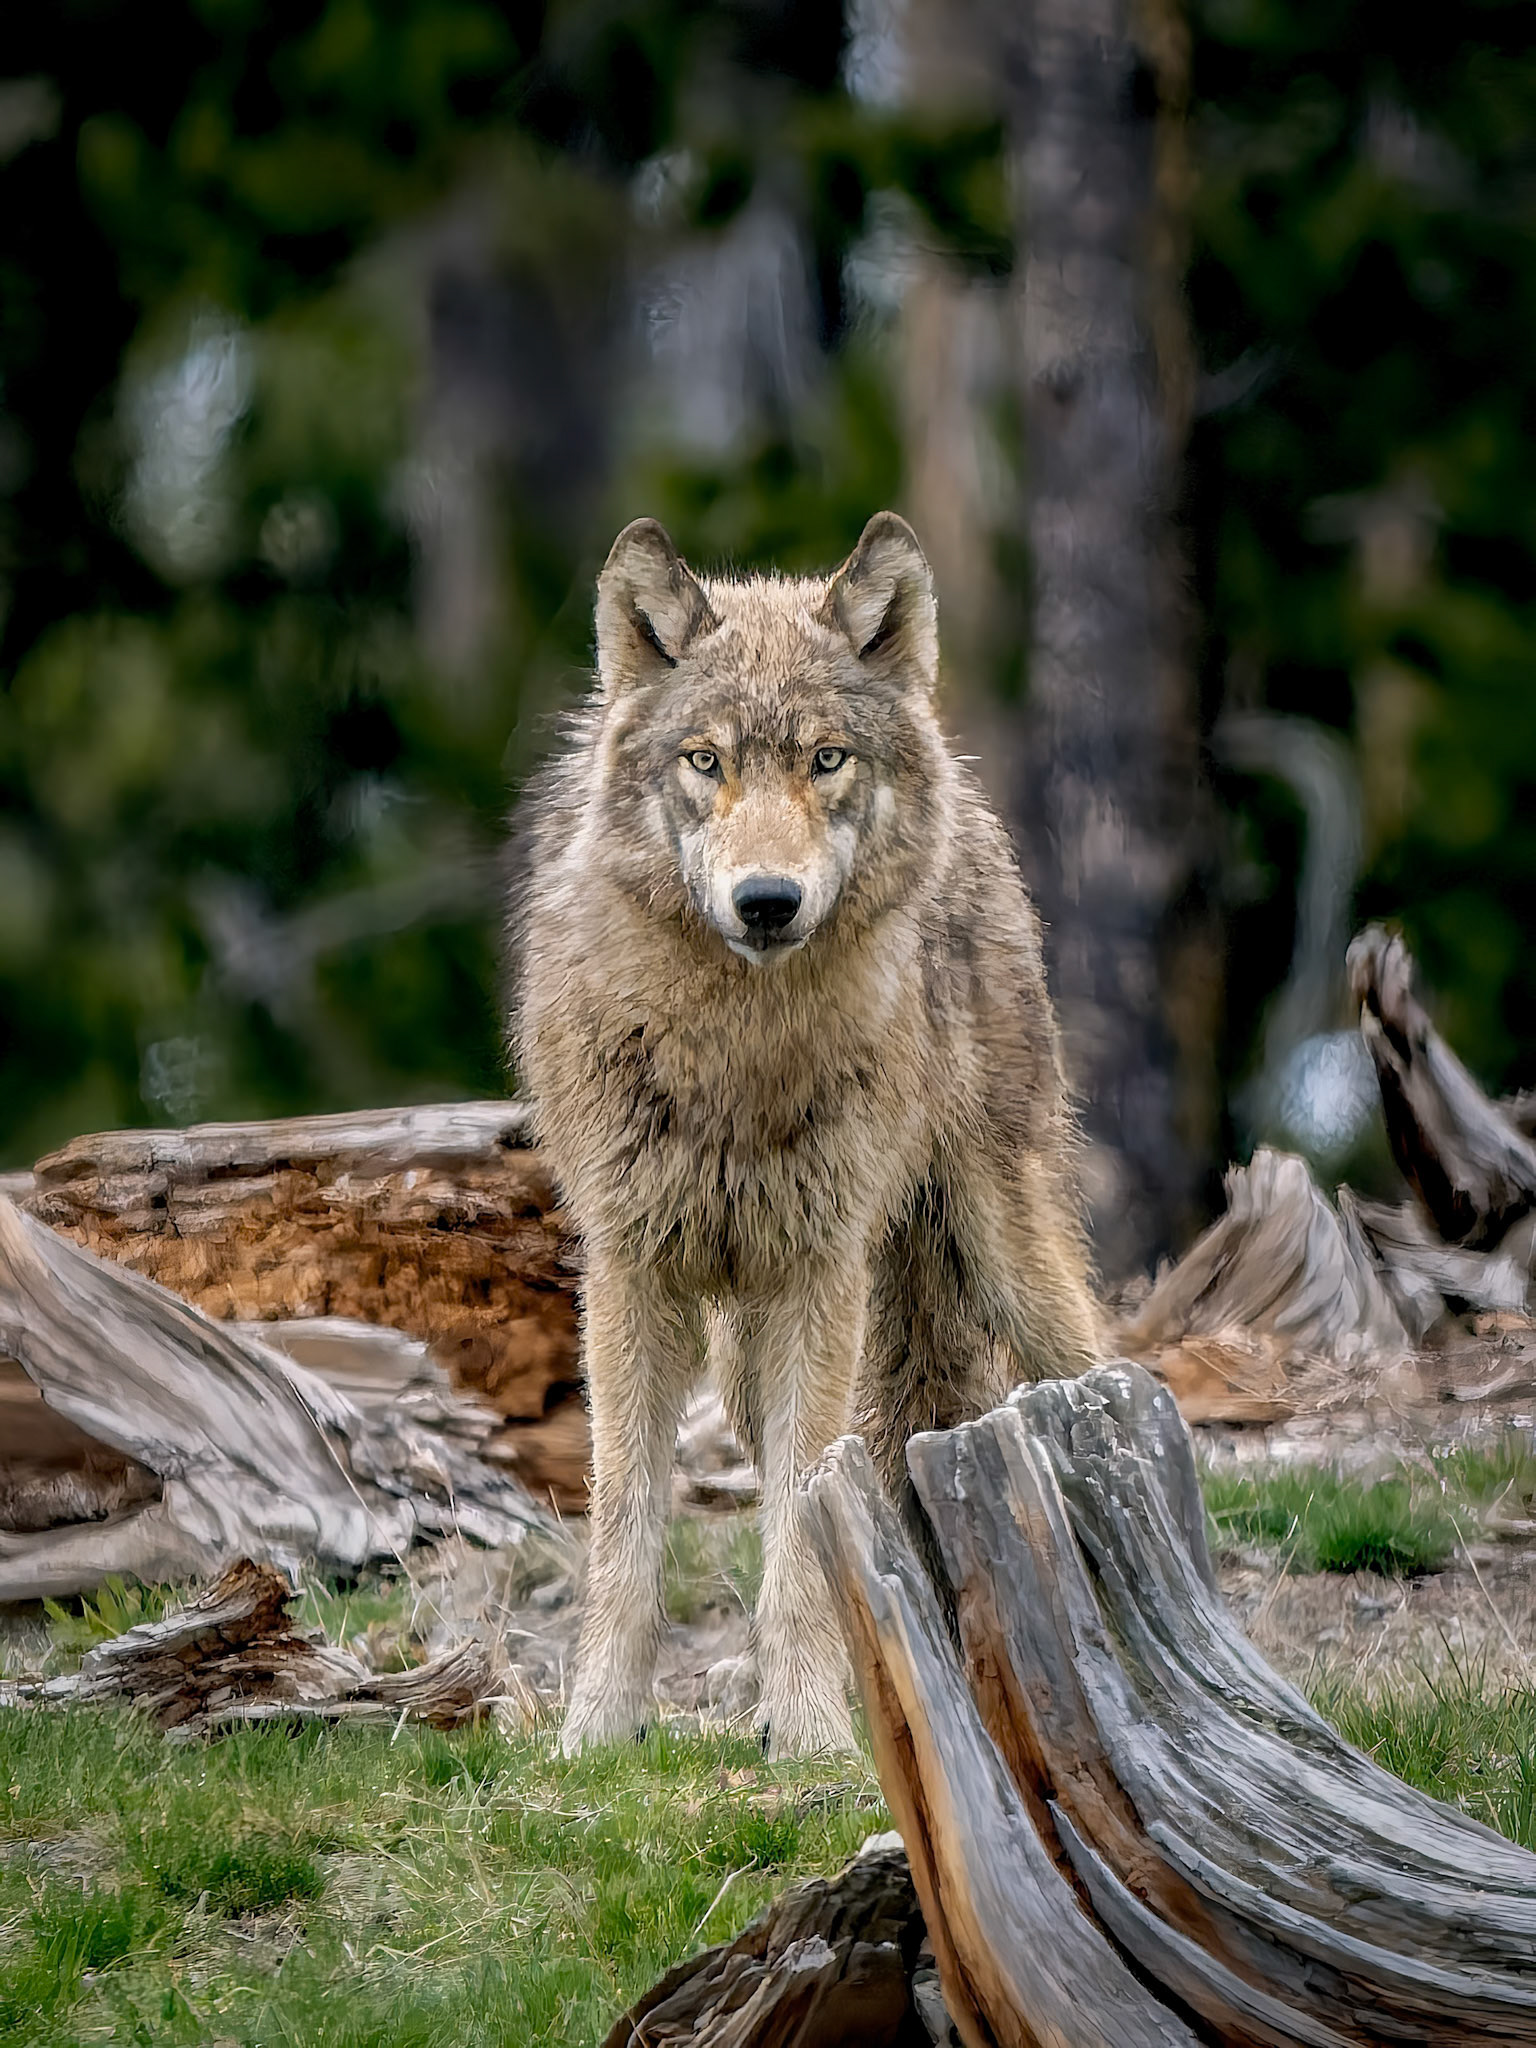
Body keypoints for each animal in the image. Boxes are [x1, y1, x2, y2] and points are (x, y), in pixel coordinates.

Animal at [509, 511, 1099, 1757]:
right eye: (706, 761)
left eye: (827, 758)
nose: (767, 902)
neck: (737, 1055)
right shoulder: (629, 1274)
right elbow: (624, 1534)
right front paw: (595, 1733)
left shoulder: (823, 1275)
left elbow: (798, 1537)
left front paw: (818, 1736)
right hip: (745, 1356)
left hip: (1002, 1252)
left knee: (1107, 1378)